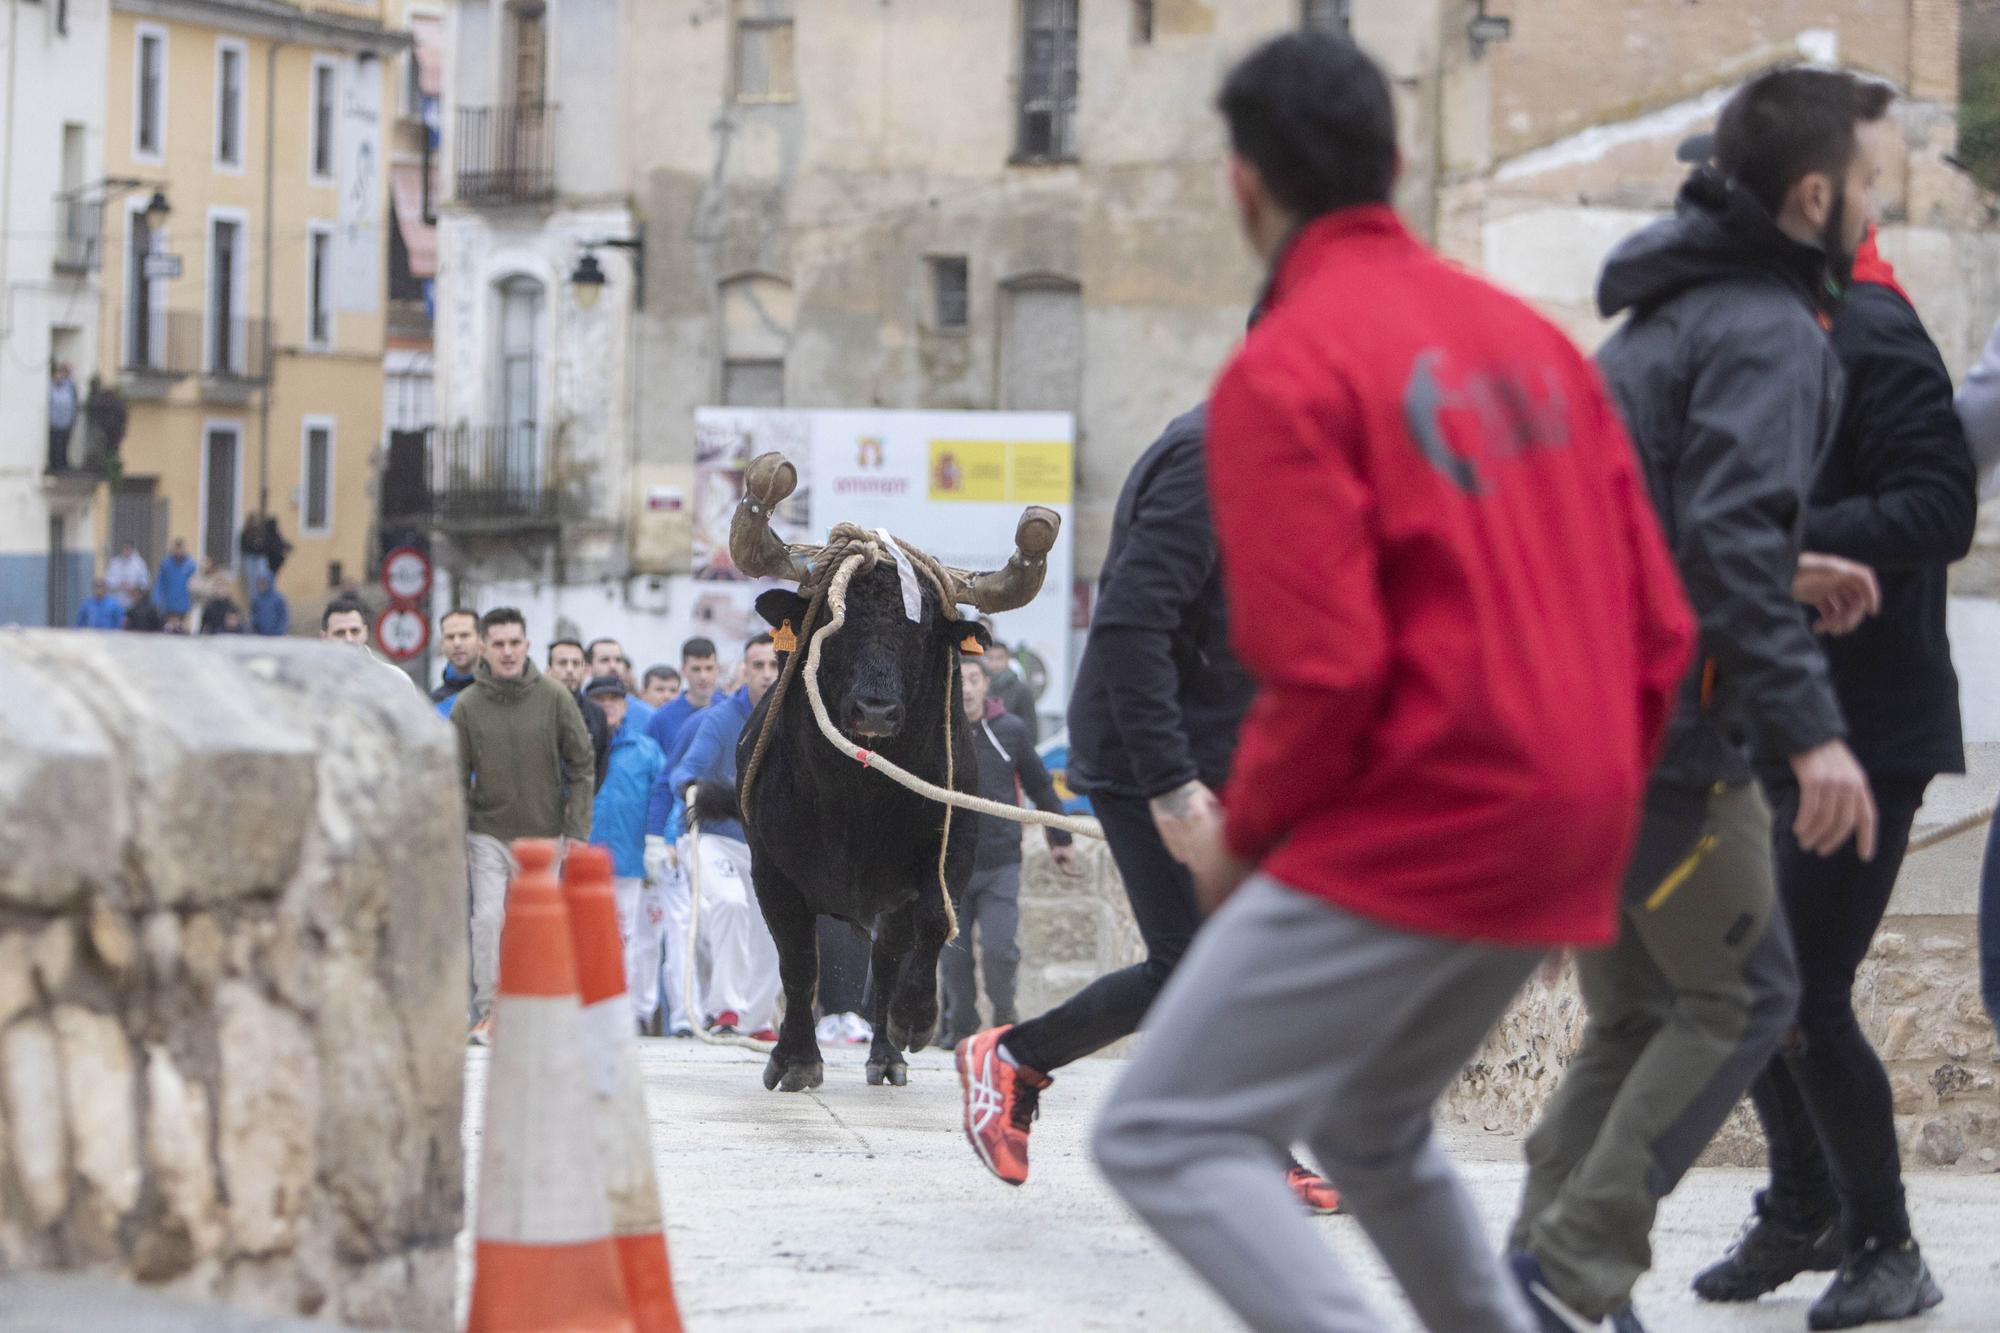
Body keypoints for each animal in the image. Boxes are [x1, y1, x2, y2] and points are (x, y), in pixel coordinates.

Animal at [728, 564, 992, 1088]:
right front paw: (797, 1059)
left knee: (886, 961)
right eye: (833, 622)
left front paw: (915, 1018)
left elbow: (934, 921)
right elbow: (799, 962)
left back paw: (887, 1056)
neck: (860, 795)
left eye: (923, 631)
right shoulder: (771, 872)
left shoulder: (953, 850)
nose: (874, 712)